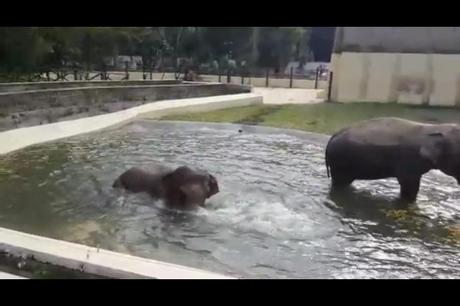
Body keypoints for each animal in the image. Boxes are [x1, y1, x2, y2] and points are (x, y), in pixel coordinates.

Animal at [324, 117, 460, 203]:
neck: (433, 128)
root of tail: (332, 137)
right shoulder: (408, 161)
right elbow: (409, 186)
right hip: (341, 162)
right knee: (341, 183)